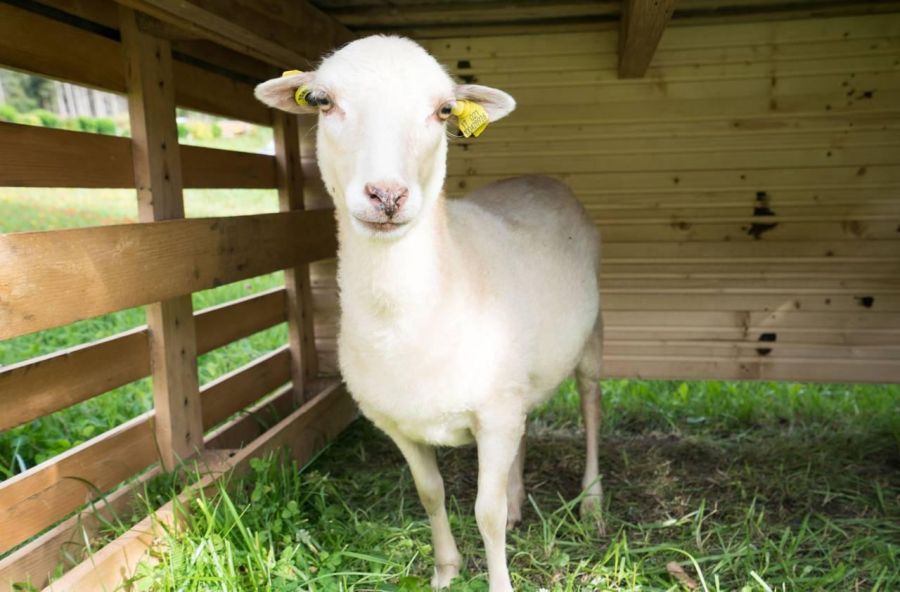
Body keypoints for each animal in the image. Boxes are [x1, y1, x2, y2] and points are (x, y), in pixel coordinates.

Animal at [255, 35, 604, 592]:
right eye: (323, 102)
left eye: (443, 111)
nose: (387, 194)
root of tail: (541, 178)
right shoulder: (401, 422)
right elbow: (431, 494)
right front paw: (445, 572)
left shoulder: (494, 412)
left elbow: (484, 513)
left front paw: (498, 581)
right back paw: (518, 501)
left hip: (592, 333)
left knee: (591, 403)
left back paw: (591, 501)